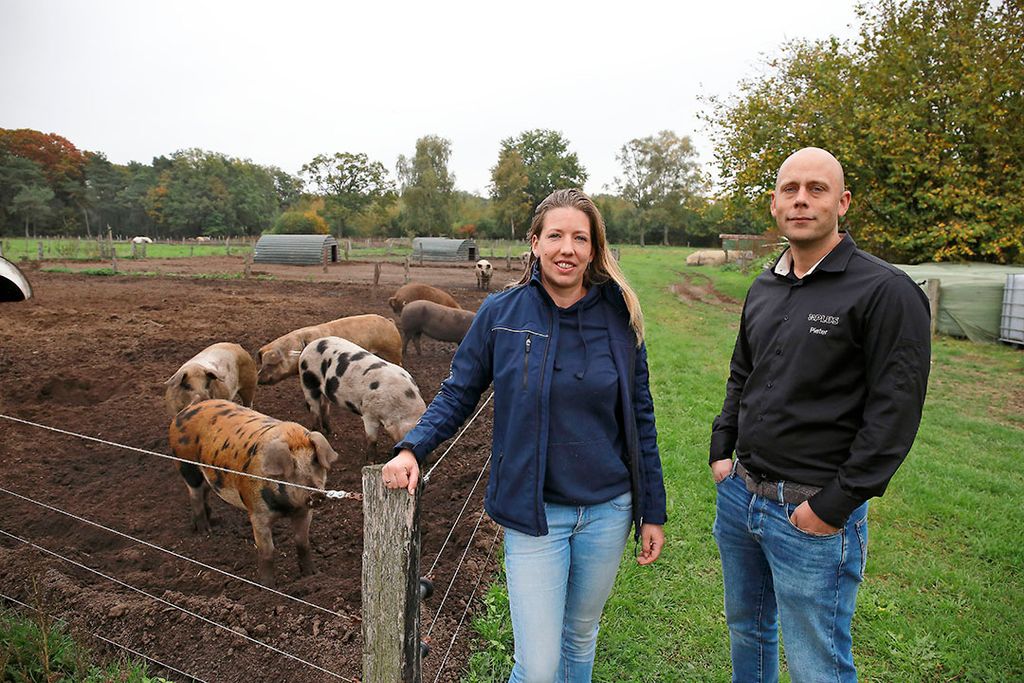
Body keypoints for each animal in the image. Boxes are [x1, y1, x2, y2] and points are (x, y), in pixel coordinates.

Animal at [167, 401, 339, 589]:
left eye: (315, 460)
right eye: (292, 465)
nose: (315, 493)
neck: (285, 507)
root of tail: (185, 411)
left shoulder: (303, 511)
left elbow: (302, 542)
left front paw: (312, 575)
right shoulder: (257, 513)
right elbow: (267, 551)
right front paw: (267, 587)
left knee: (205, 491)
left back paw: (209, 523)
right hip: (187, 466)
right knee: (195, 495)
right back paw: (205, 531)